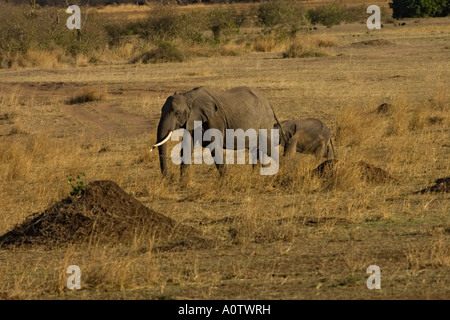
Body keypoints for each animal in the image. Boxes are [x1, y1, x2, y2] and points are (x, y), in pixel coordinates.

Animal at [151, 87, 284, 178]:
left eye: (177, 113)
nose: (169, 178)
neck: (188, 95)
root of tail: (269, 103)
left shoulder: (214, 119)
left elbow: (214, 145)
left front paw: (224, 182)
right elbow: (187, 145)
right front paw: (182, 183)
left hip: (264, 121)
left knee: (265, 146)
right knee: (256, 149)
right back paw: (256, 176)